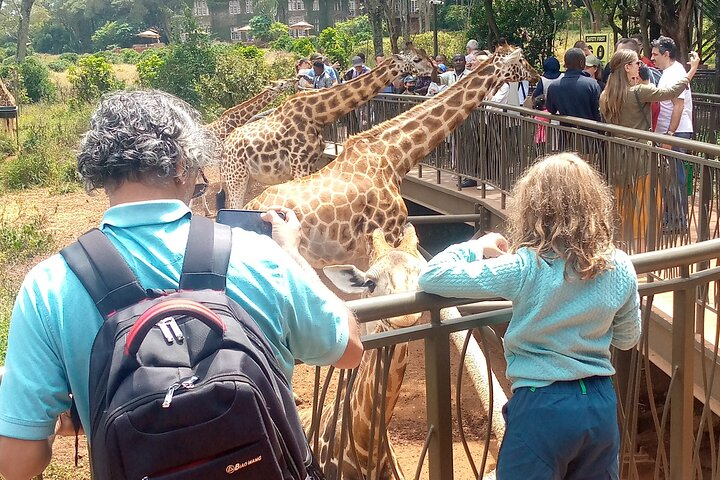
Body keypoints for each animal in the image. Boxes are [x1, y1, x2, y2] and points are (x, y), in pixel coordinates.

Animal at [220, 48, 435, 207]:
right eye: (416, 59)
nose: (432, 69)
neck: (317, 115)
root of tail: (225, 148)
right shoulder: (299, 164)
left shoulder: (311, 163)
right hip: (236, 176)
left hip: (245, 177)